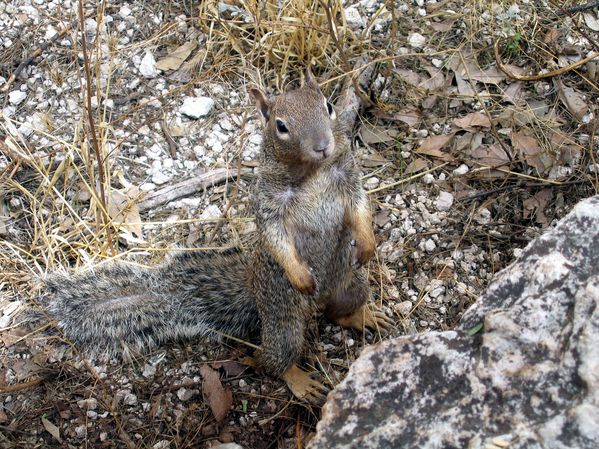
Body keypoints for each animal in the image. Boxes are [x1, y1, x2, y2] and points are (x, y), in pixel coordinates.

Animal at [41, 68, 394, 400]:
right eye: (281, 126)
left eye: (329, 106)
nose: (322, 147)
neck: (313, 171)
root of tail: (253, 290)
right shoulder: (269, 204)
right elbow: (276, 239)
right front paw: (301, 275)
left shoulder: (348, 178)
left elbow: (360, 207)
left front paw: (367, 244)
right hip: (284, 321)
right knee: (271, 360)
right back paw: (300, 380)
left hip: (352, 285)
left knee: (338, 312)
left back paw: (363, 318)